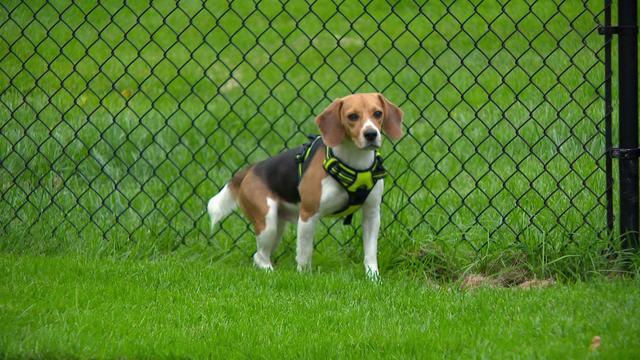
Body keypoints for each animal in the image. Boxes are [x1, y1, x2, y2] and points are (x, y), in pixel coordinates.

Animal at [208, 93, 402, 278]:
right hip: (267, 223)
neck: (355, 161)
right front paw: (304, 277)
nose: (371, 134)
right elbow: (304, 252)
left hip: (277, 227)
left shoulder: (372, 214)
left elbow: (370, 252)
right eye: (352, 116)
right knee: (260, 256)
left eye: (378, 113)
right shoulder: (308, 213)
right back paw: (271, 273)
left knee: (260, 255)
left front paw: (373, 278)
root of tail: (252, 168)